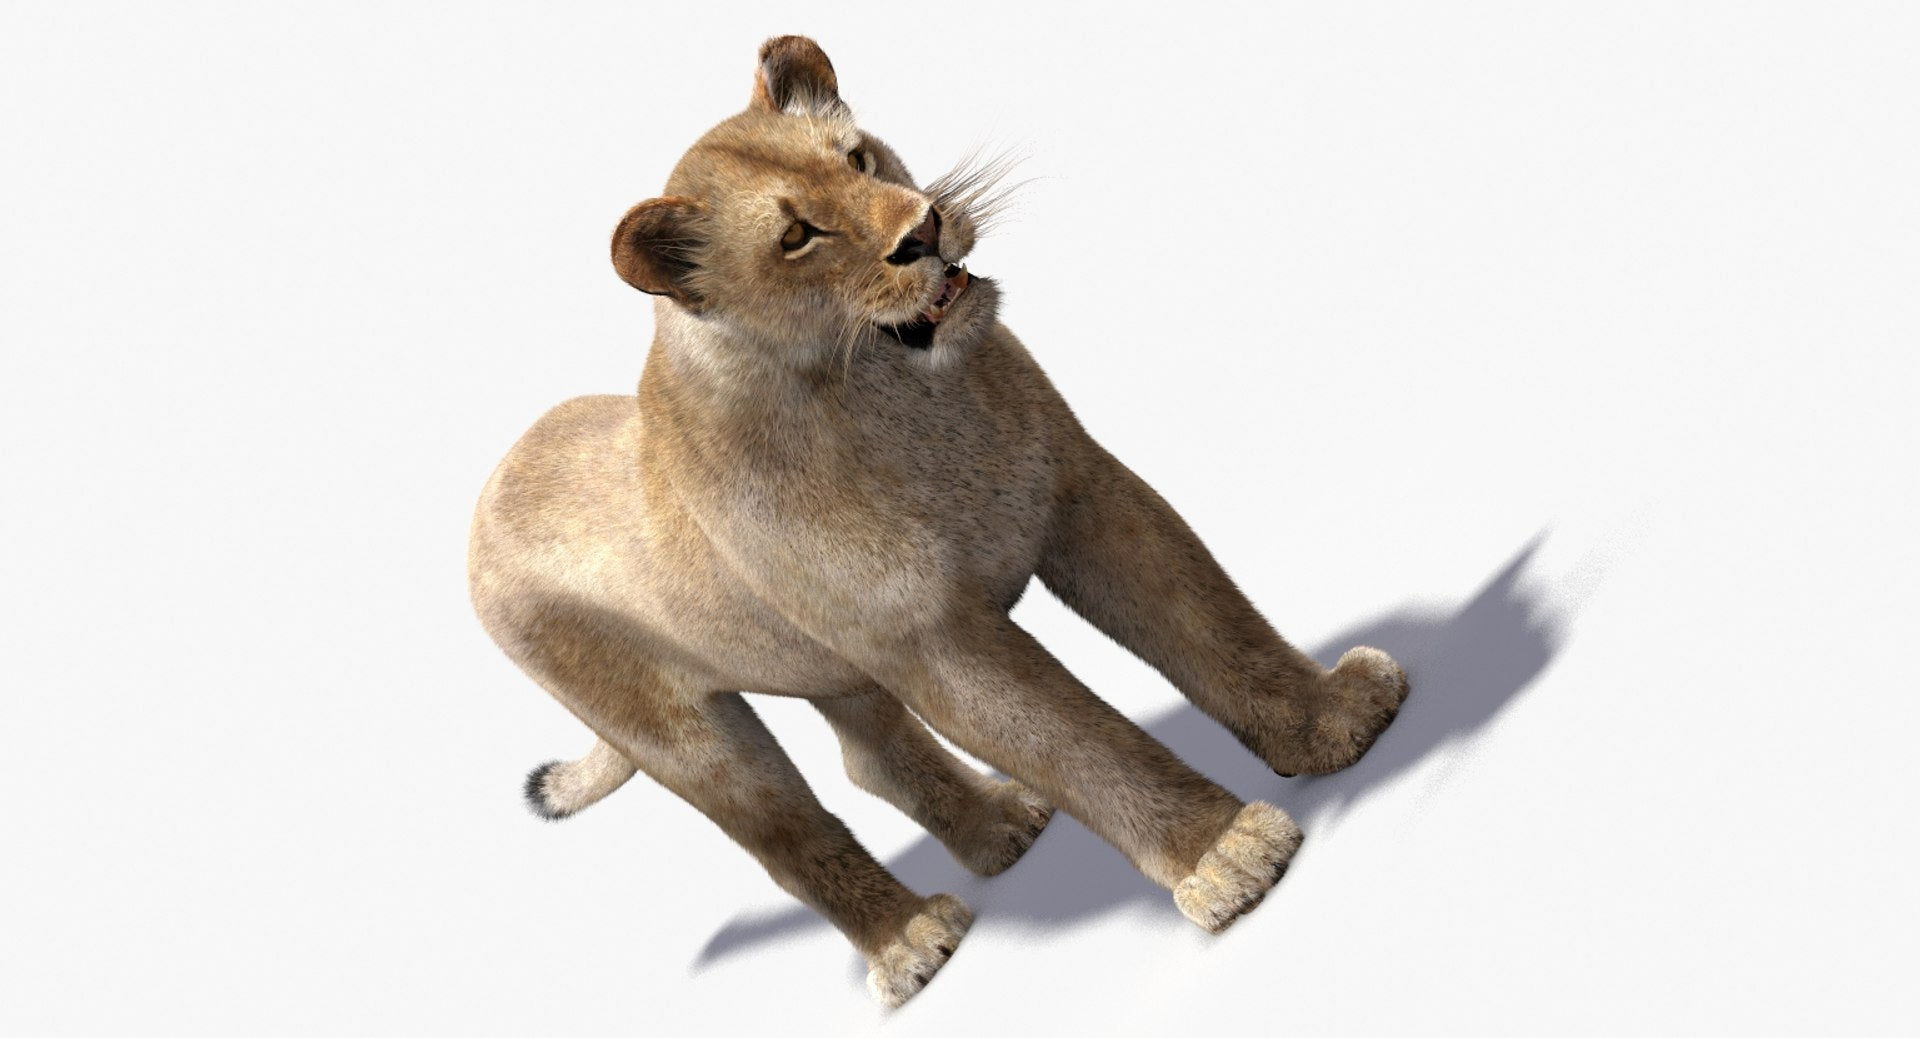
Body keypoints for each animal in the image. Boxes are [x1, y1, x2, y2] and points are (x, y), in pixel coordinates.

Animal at [468, 35, 1409, 1008]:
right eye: (797, 236)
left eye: (858, 159)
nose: (923, 229)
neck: (899, 402)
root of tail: (490, 489)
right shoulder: (935, 638)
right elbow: (1079, 742)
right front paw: (1227, 856)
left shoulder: (1084, 495)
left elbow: (1211, 623)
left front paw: (1336, 723)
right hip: (684, 733)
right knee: (785, 831)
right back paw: (915, 943)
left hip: (830, 667)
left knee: (871, 757)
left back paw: (1003, 829)